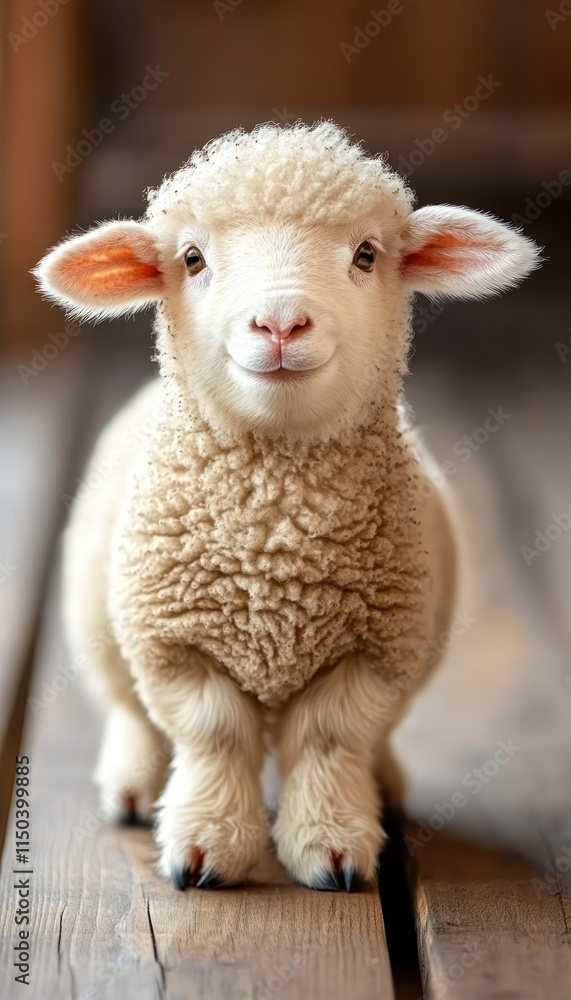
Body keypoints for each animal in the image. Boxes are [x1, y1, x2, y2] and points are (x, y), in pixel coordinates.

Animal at [35, 121, 540, 892]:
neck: (276, 533)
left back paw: (383, 786)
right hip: (99, 622)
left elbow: (330, 739)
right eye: (191, 258)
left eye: (366, 255)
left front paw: (330, 844)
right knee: (130, 713)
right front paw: (206, 845)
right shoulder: (176, 645)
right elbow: (213, 735)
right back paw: (133, 786)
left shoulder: (375, 653)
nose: (278, 324)